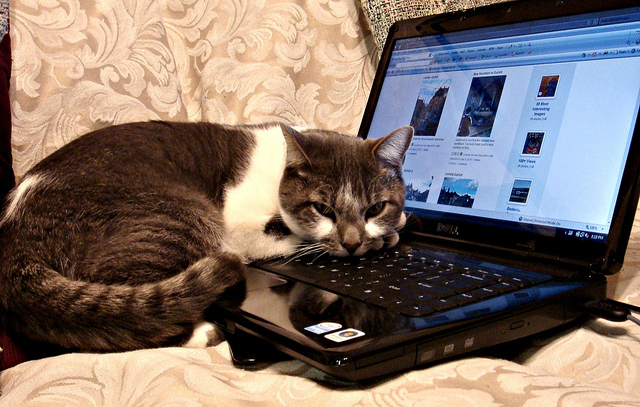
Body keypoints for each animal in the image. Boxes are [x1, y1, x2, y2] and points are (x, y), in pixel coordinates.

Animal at [0, 121, 413, 353]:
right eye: (323, 209)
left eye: (375, 207)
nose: (353, 242)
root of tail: (14, 232)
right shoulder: (240, 224)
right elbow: (297, 240)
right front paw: (386, 236)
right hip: (180, 218)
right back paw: (203, 332)